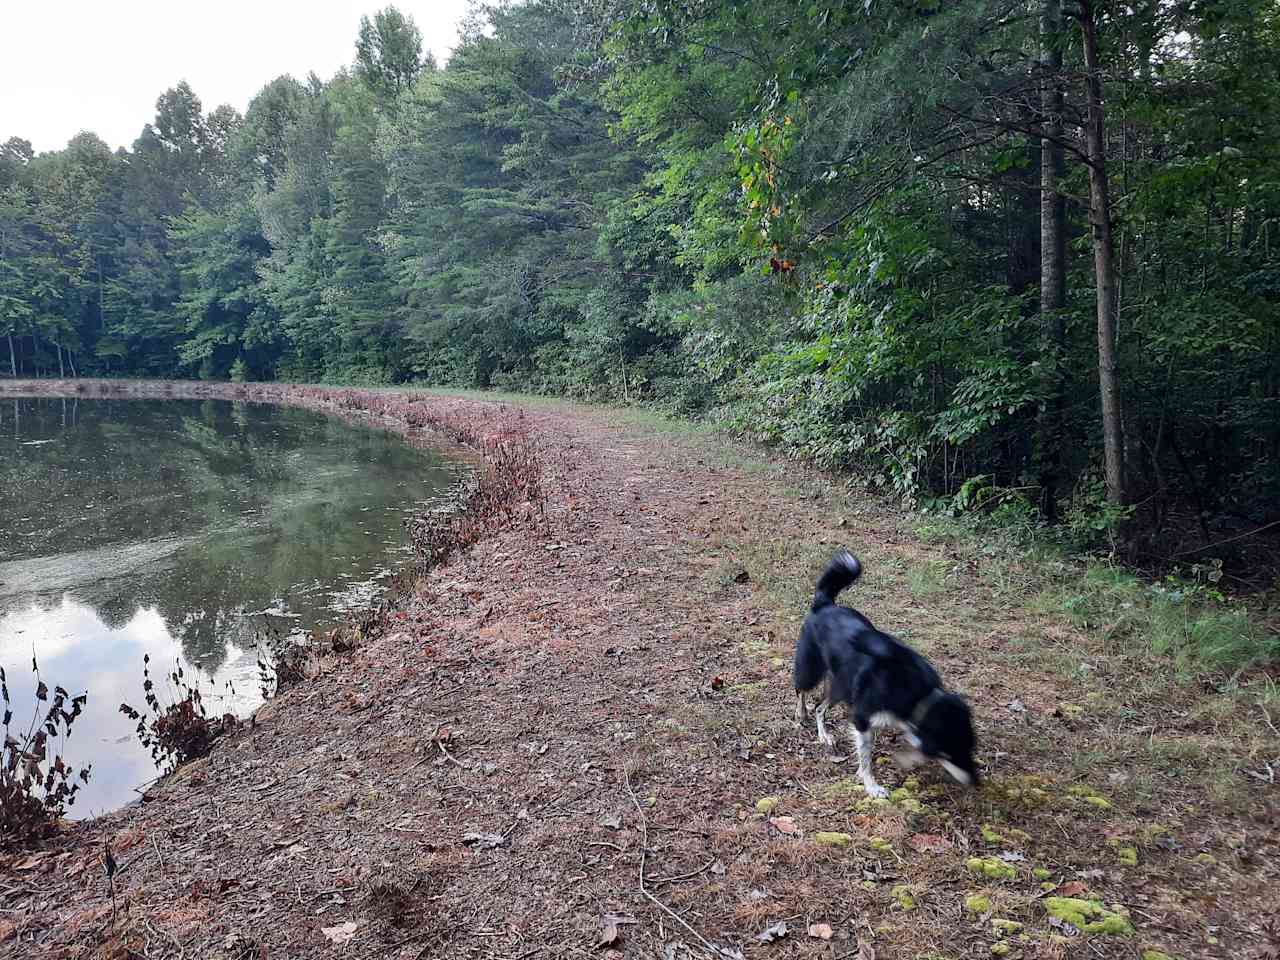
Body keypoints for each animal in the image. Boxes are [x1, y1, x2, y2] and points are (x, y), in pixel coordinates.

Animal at [788, 552, 977, 798]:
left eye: (971, 748)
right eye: (951, 753)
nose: (976, 782)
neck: (919, 694)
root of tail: (825, 604)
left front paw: (905, 760)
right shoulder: (861, 720)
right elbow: (866, 758)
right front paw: (872, 786)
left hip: (842, 685)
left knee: (820, 707)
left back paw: (824, 735)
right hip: (812, 669)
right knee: (801, 690)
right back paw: (801, 714)